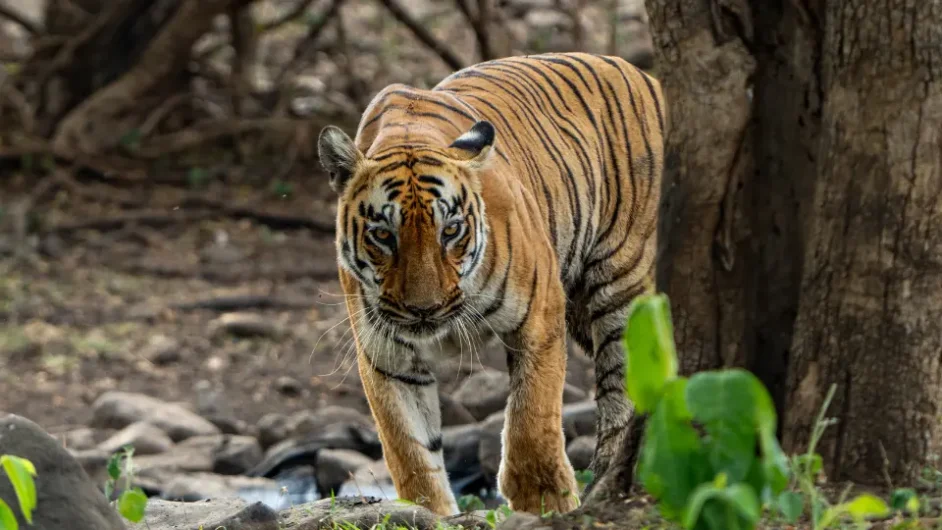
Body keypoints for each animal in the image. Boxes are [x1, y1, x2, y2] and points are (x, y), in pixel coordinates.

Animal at [317, 52, 666, 516]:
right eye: (383, 235)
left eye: (450, 230)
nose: (424, 309)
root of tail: (646, 76)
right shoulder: (386, 352)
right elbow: (409, 447)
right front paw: (429, 512)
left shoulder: (539, 315)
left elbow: (530, 417)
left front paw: (544, 500)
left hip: (622, 287)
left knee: (623, 393)